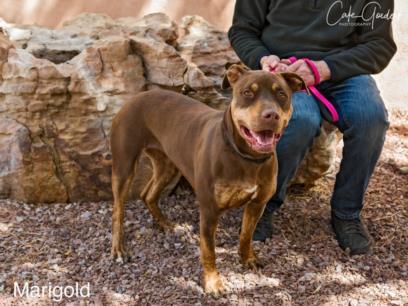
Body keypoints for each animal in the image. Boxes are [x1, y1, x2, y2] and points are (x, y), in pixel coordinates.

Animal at [109, 64, 306, 294]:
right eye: (247, 92)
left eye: (281, 94)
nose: (271, 115)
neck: (246, 157)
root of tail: (136, 97)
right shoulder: (210, 210)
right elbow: (209, 250)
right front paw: (213, 282)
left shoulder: (257, 204)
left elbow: (246, 235)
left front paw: (247, 258)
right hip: (124, 166)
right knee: (118, 211)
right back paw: (118, 249)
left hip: (168, 165)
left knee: (147, 194)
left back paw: (166, 224)